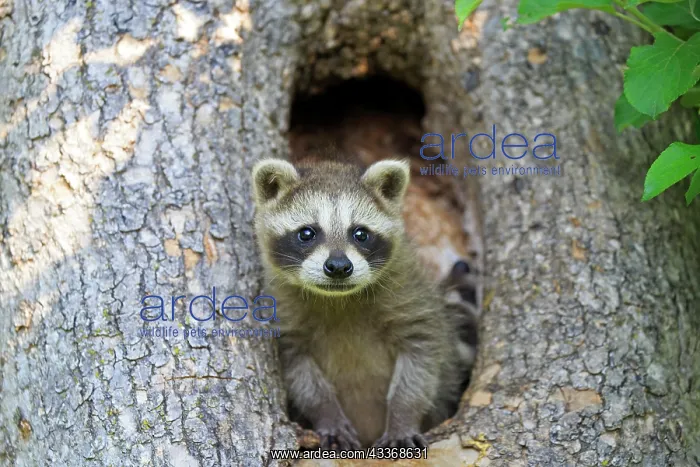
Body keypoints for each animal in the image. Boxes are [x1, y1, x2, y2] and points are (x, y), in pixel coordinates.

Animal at [251, 157, 474, 449]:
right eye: (307, 233)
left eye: (360, 233)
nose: (338, 266)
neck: (337, 298)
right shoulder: (285, 318)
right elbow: (303, 378)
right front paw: (328, 415)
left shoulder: (411, 296)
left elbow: (420, 362)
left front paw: (402, 418)